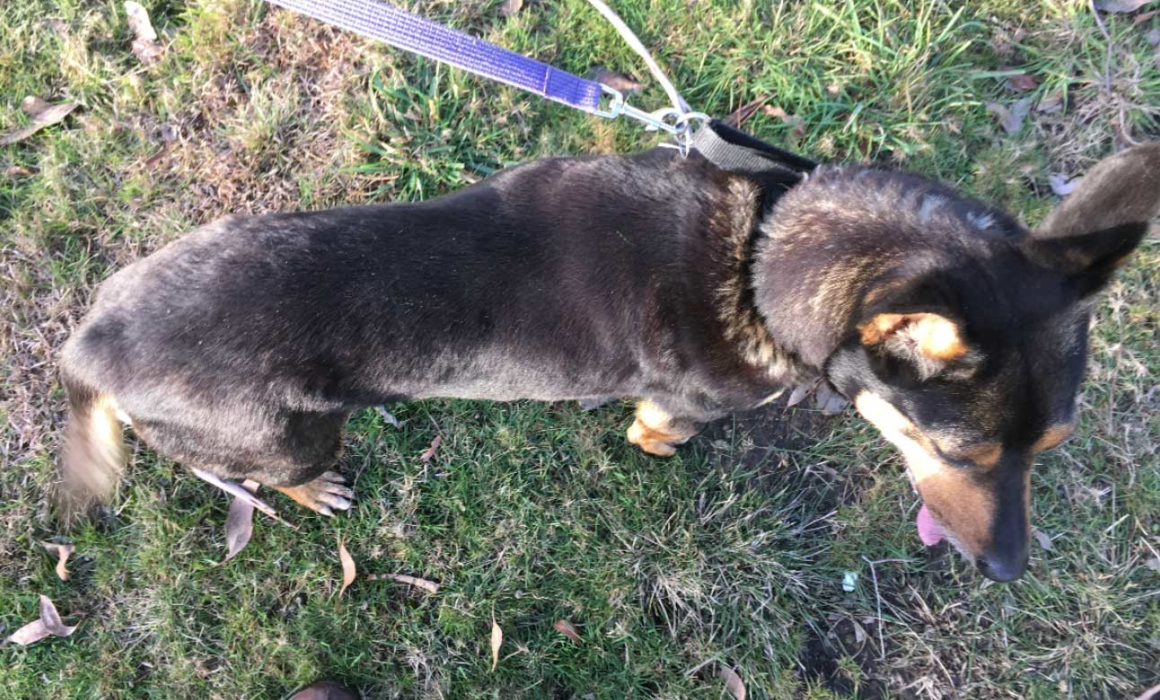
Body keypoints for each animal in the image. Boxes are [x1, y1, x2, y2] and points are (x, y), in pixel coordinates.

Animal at [61, 138, 1160, 580]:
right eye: (967, 455)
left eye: (1050, 447)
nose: (1010, 573)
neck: (758, 254)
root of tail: (91, 341)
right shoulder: (691, 395)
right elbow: (661, 426)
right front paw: (656, 446)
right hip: (287, 434)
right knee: (261, 469)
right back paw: (311, 490)